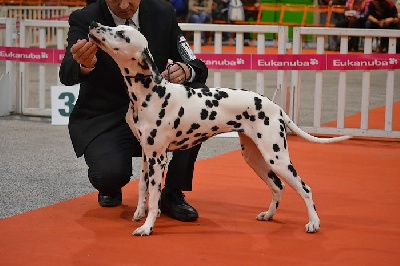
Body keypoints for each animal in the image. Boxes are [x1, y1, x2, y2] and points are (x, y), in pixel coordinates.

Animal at [88, 21, 350, 236]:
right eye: (116, 27)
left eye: (121, 34)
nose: (93, 24)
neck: (152, 93)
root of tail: (275, 106)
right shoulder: (147, 155)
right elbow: (143, 188)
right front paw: (140, 214)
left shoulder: (158, 158)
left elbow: (153, 197)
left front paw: (147, 226)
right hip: (255, 157)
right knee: (277, 186)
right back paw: (269, 215)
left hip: (277, 157)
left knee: (305, 188)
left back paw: (314, 223)